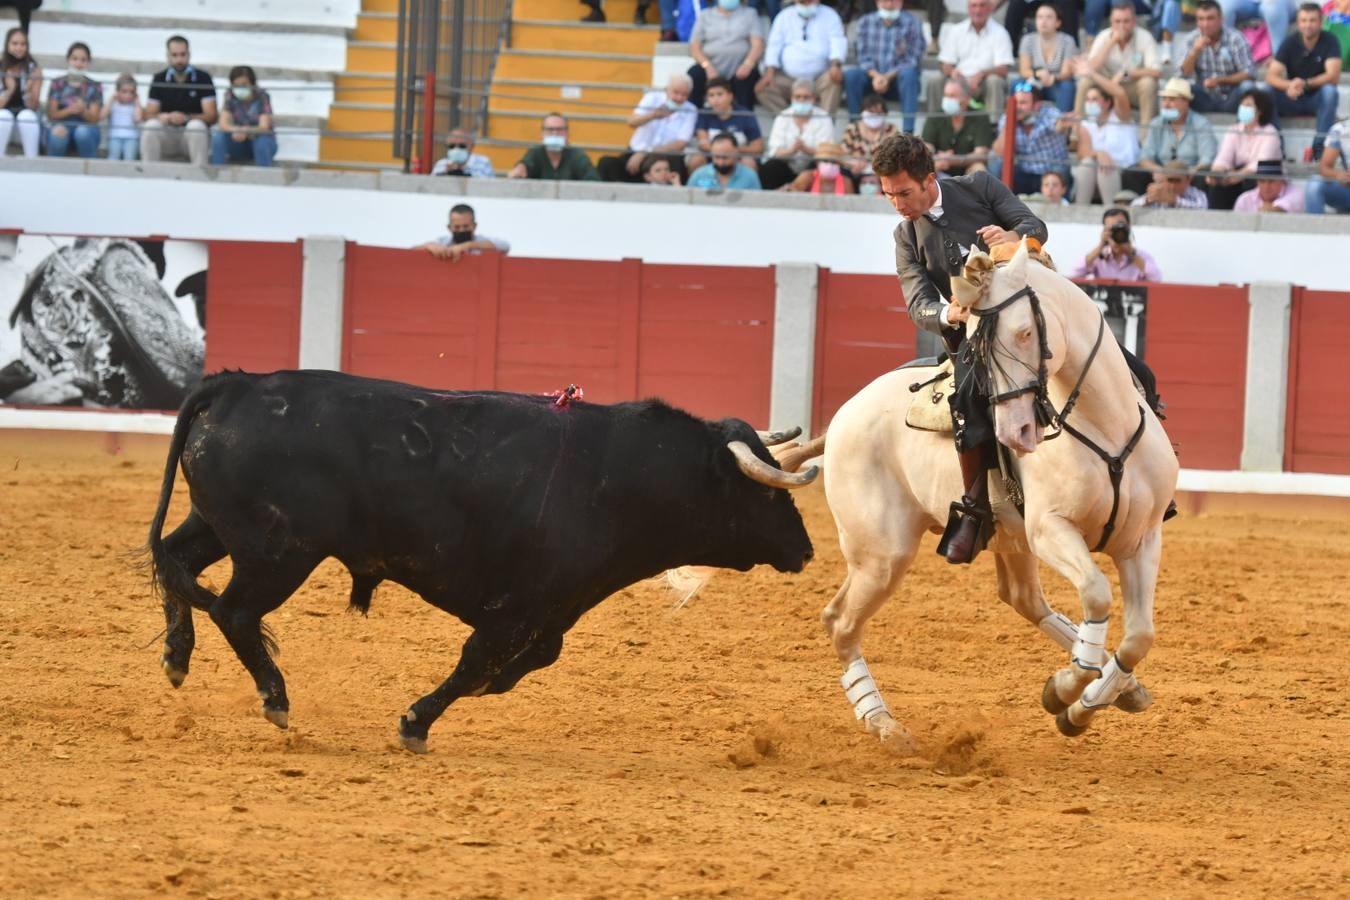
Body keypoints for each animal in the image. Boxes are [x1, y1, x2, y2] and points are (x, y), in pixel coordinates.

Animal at [147, 367, 810, 755]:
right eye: (767, 493)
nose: (805, 549)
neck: (627, 477)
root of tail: (236, 384)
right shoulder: (517, 607)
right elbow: (475, 663)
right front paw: (415, 724)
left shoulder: (553, 608)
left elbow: (529, 660)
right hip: (279, 553)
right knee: (233, 611)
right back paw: (276, 700)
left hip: (220, 527)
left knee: (175, 562)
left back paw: (177, 658)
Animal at [799, 237, 1182, 744]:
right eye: (974, 347)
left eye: (1024, 333)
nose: (1014, 432)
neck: (1105, 427)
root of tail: (843, 414)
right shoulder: (1049, 530)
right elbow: (1097, 594)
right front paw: (1066, 688)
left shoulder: (1142, 538)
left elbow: (1140, 636)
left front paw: (1086, 703)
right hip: (882, 553)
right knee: (840, 620)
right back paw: (884, 724)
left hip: (1007, 538)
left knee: (1024, 598)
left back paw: (1126, 689)